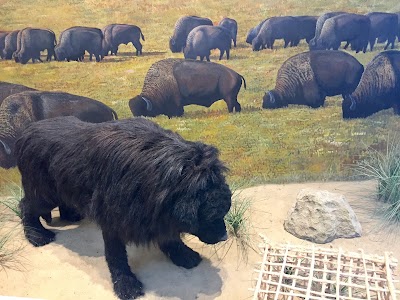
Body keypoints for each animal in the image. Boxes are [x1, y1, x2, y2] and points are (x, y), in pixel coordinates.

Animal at [16, 116, 231, 300]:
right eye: (211, 216)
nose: (224, 237)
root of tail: (27, 131)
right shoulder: (114, 220)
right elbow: (116, 256)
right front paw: (126, 285)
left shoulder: (159, 214)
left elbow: (170, 236)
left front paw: (183, 255)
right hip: (44, 193)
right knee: (25, 206)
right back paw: (37, 235)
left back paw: (71, 215)